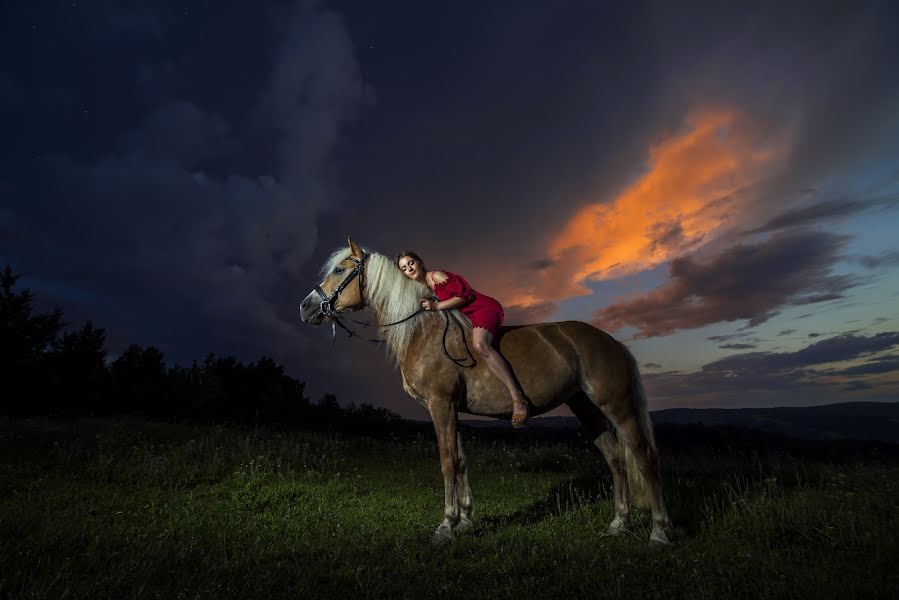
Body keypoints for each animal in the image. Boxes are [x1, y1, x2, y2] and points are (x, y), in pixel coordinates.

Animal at [298, 237, 672, 548]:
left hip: (617, 405)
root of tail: (611, 342)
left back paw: (659, 531)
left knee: (644, 457)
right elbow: (461, 460)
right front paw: (464, 521)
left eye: (340, 269)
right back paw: (618, 524)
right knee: (615, 459)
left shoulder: (440, 405)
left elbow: (448, 461)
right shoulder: (450, 410)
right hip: (586, 407)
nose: (305, 307)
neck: (421, 332)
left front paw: (447, 525)